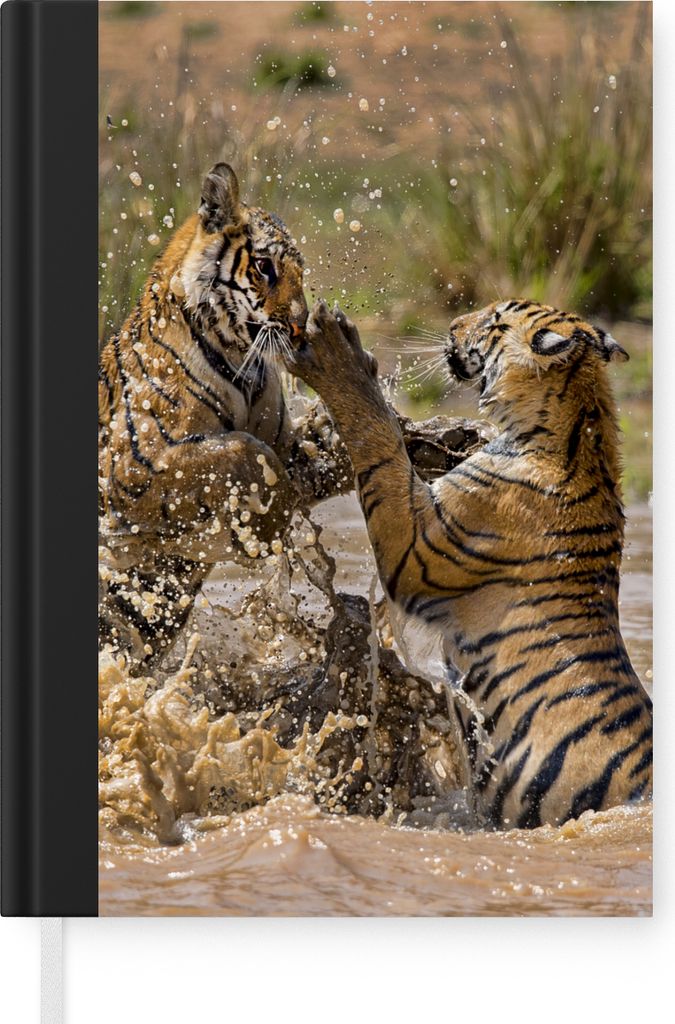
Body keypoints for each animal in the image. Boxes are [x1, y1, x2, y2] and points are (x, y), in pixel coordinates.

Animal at [98, 163, 351, 668]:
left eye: (300, 271)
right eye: (265, 267)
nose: (301, 327)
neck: (243, 363)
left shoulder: (285, 441)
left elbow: (298, 453)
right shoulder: (134, 466)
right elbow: (243, 450)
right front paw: (267, 527)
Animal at [283, 298, 653, 829]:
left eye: (495, 320)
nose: (454, 326)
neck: (580, 430)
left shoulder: (415, 548)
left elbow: (380, 443)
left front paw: (340, 352)